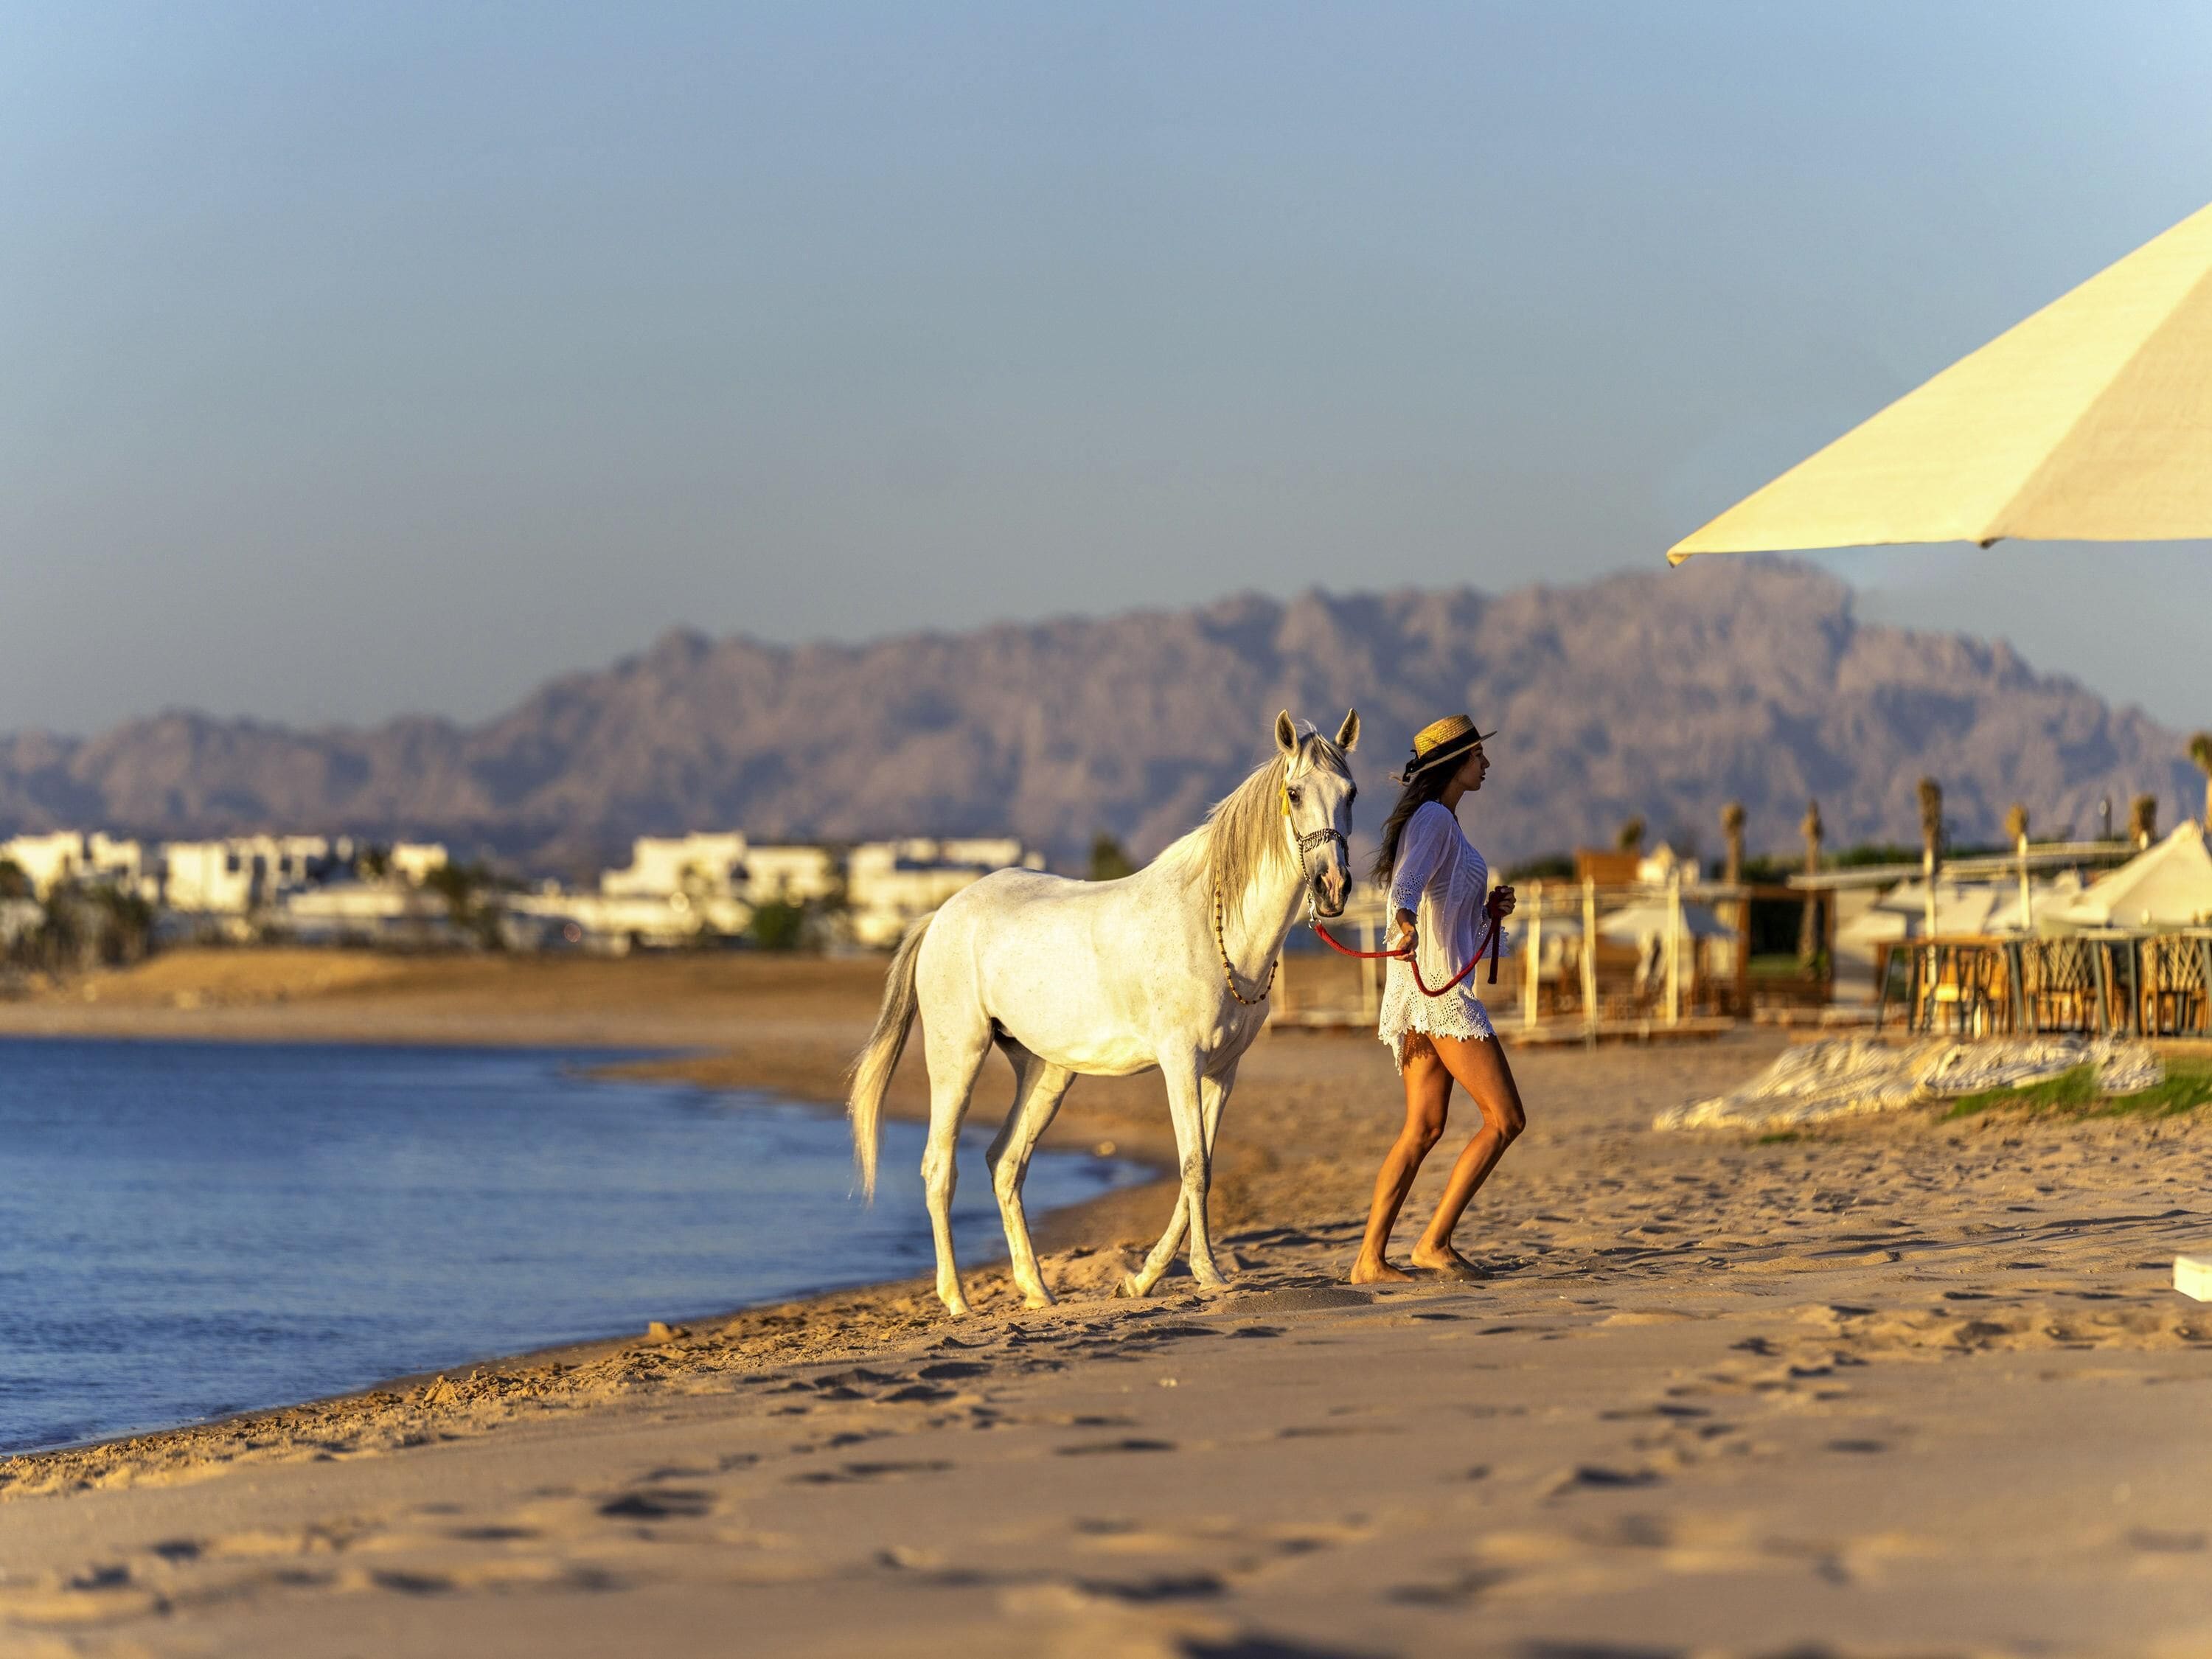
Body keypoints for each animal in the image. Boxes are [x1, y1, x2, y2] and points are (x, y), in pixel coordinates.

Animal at [846, 708, 1361, 1317]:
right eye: (1295, 793)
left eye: (1351, 792)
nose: (1333, 887)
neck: (1211, 923)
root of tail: (942, 914)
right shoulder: (1181, 1062)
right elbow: (1194, 1166)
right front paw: (1207, 1273)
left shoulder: (1221, 1071)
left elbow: (1201, 1167)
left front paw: (1140, 1280)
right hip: (958, 1059)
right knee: (939, 1166)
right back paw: (957, 1300)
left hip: (1045, 1071)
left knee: (1005, 1161)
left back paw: (1036, 1290)